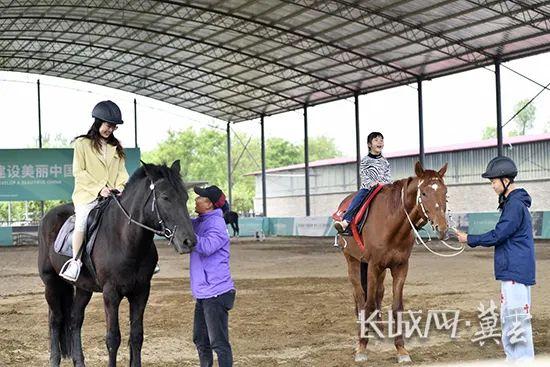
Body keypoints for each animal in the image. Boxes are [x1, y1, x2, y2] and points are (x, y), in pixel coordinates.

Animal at [37, 162, 196, 367]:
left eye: (185, 197)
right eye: (165, 197)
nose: (189, 242)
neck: (126, 240)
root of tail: (48, 217)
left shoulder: (141, 292)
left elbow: (136, 336)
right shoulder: (111, 294)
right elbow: (113, 338)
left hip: (83, 288)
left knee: (75, 319)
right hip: (51, 283)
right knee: (56, 320)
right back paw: (54, 360)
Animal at [338, 162, 450, 364]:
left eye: (445, 192)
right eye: (423, 193)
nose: (442, 228)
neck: (392, 224)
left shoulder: (400, 267)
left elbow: (396, 306)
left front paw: (401, 349)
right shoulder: (373, 265)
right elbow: (368, 304)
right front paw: (362, 347)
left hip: (379, 270)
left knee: (378, 294)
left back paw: (379, 329)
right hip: (352, 260)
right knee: (360, 296)